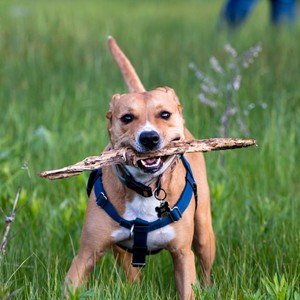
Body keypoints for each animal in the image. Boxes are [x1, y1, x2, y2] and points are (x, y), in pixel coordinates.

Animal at [67, 37, 214, 300]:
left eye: (164, 114)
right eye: (127, 118)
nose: (149, 138)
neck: (145, 187)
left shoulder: (183, 255)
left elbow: (187, 285)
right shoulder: (87, 253)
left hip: (204, 233)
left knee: (205, 266)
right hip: (121, 252)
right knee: (131, 276)